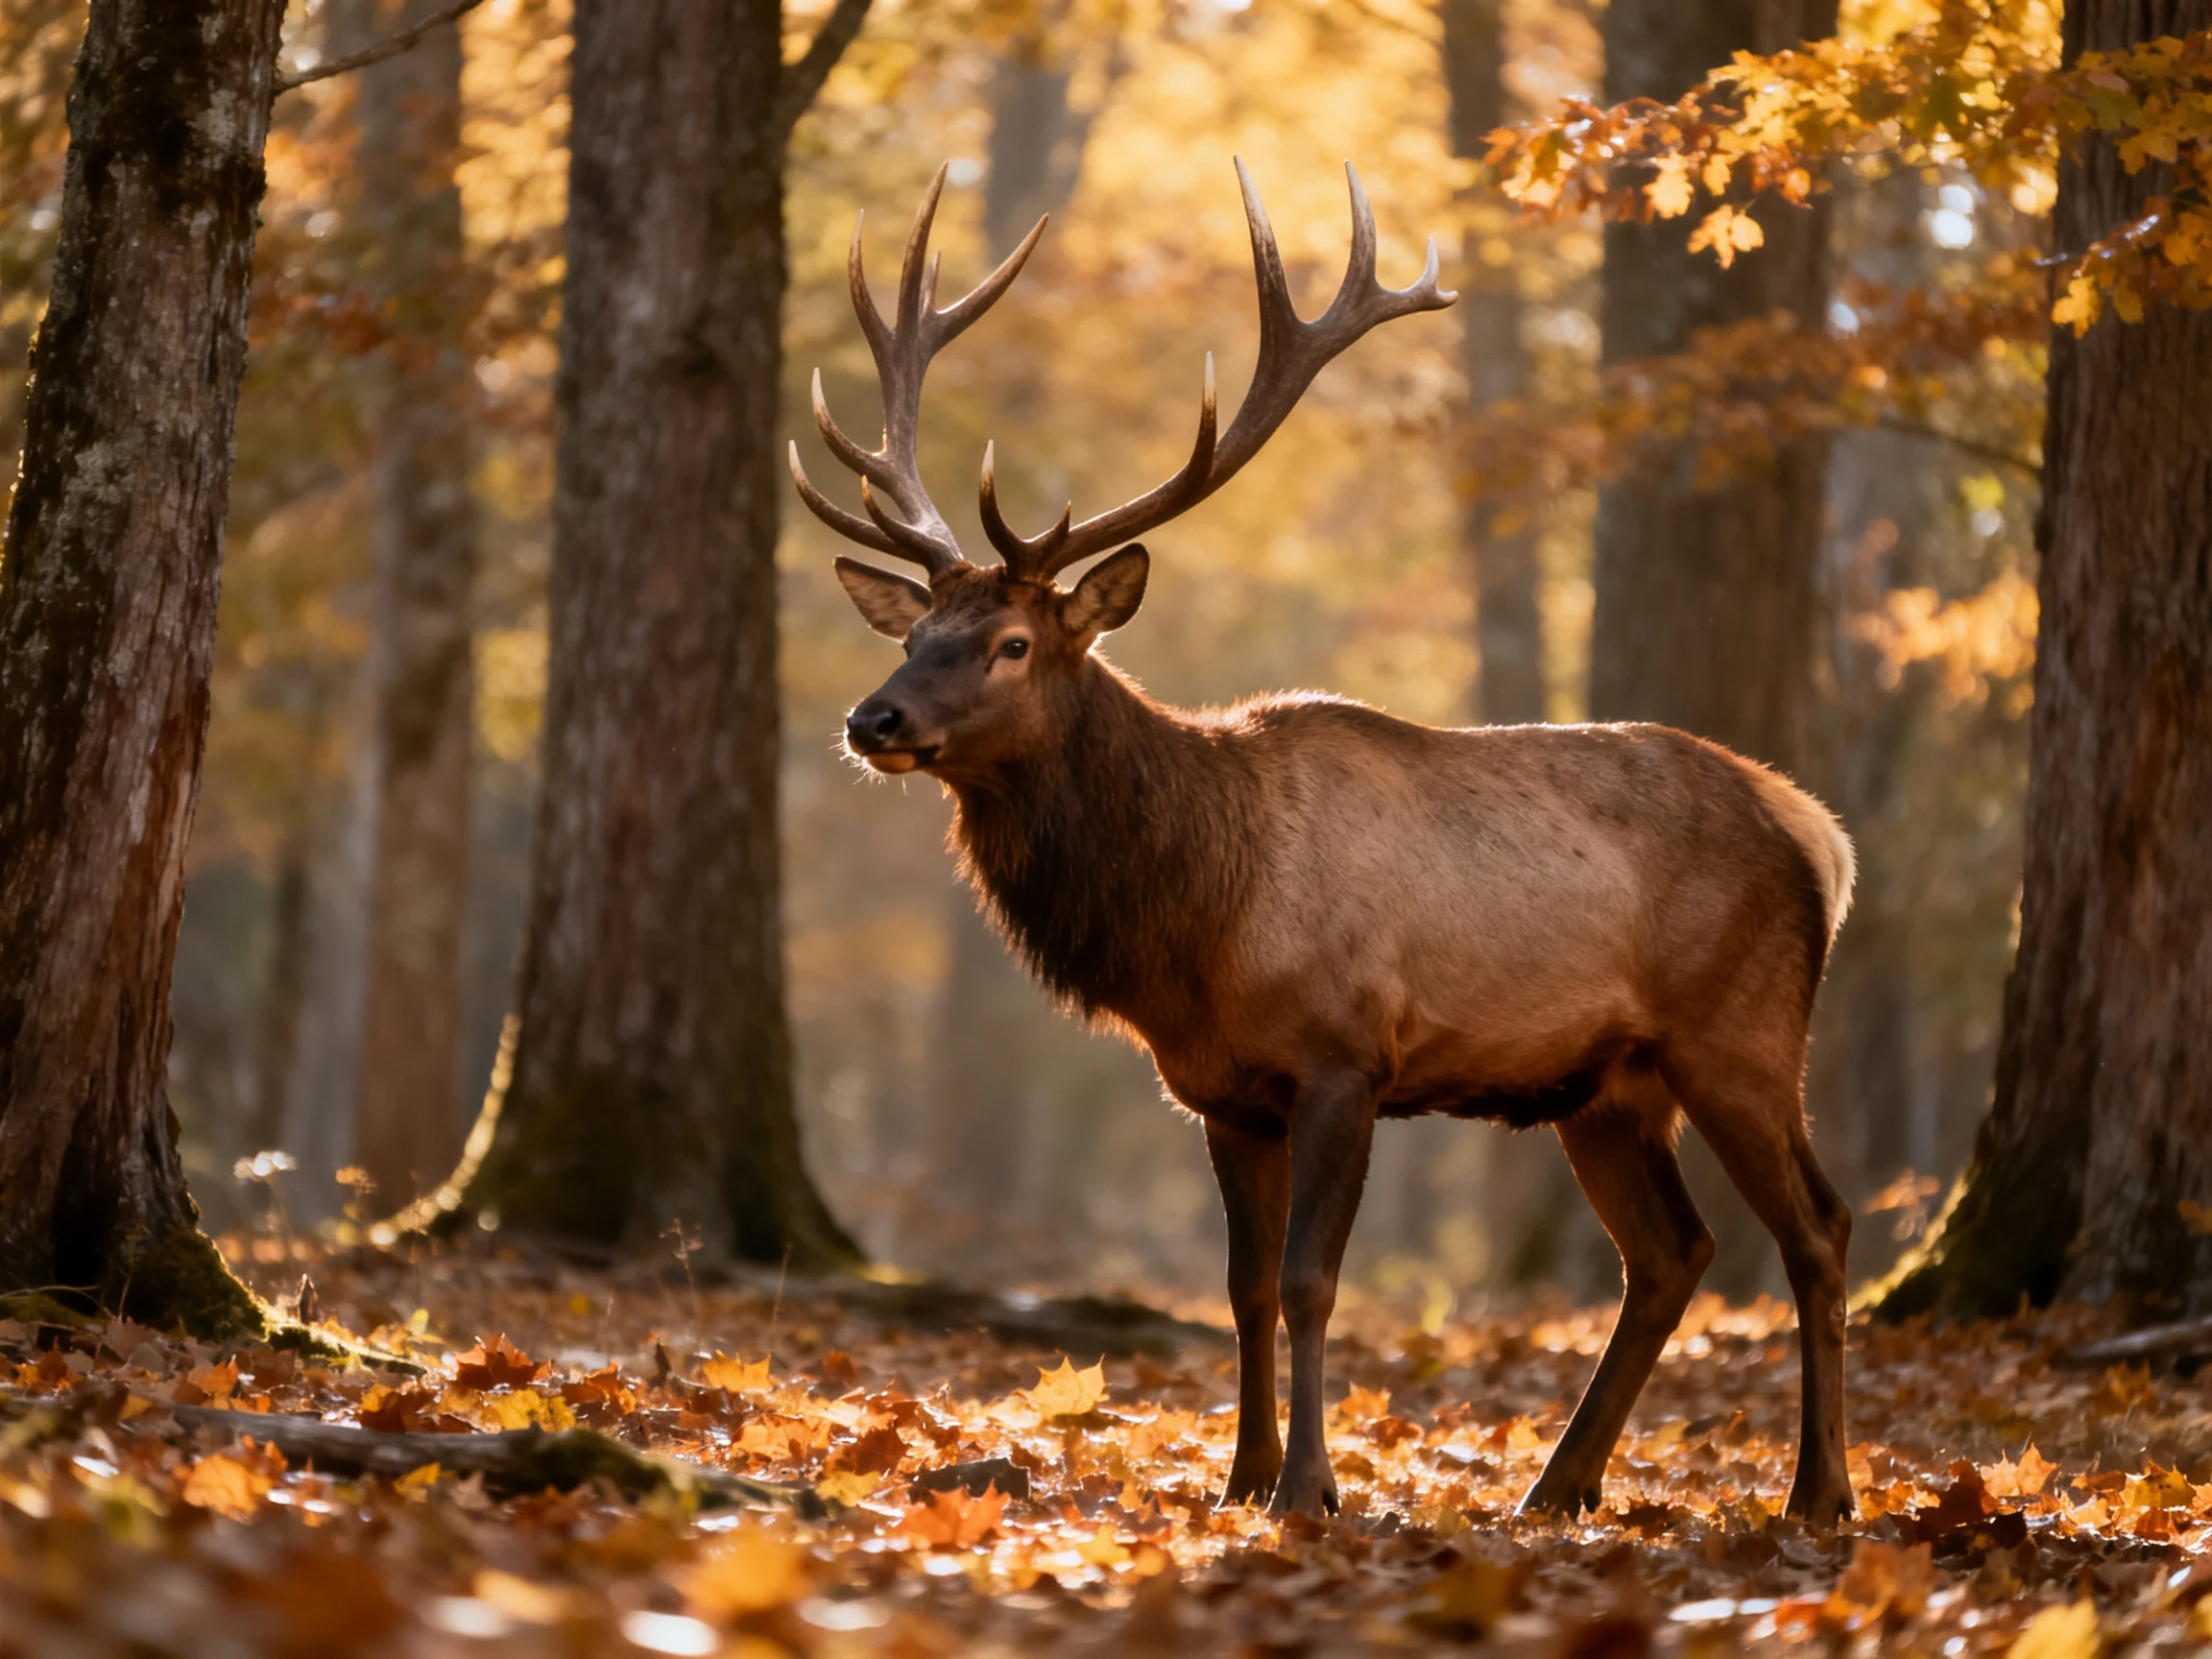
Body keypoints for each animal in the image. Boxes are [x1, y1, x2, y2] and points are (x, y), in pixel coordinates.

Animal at [791, 160, 1858, 1524]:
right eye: (917, 632)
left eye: (1013, 643)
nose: (872, 720)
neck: (1196, 917)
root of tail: (1814, 832)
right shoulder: (1219, 1093)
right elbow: (1244, 1287)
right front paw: (1242, 1480)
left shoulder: (1349, 1055)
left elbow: (1309, 1281)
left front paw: (1311, 1489)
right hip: (1604, 1084)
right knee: (1674, 1252)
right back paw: (1558, 1487)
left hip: (1742, 1032)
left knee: (1815, 1229)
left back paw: (1818, 1494)